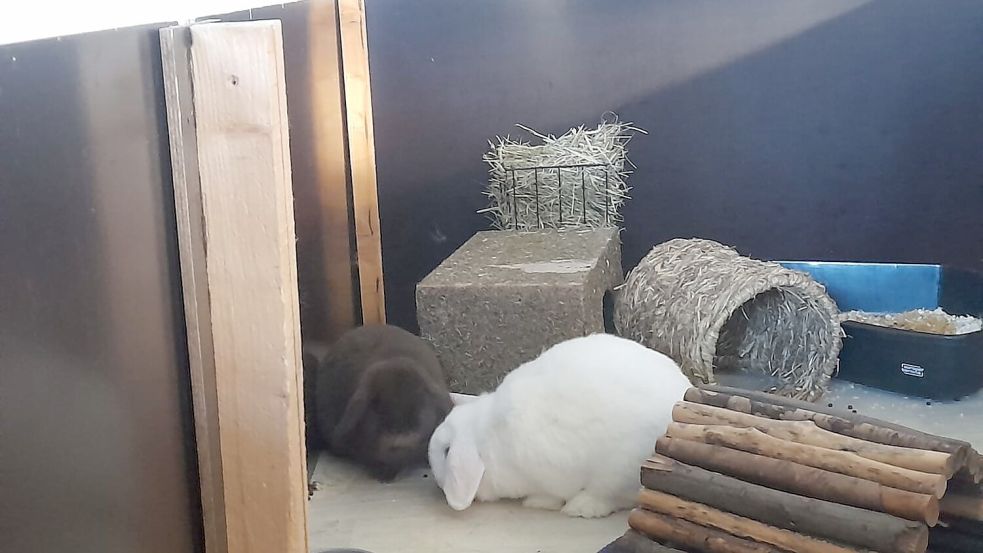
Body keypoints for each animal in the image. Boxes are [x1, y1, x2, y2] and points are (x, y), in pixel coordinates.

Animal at [428, 333, 691, 518]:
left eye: (446, 451)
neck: (486, 436)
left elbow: (550, 494)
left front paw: (538, 502)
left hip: (619, 470)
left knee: (615, 496)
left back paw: (581, 507)